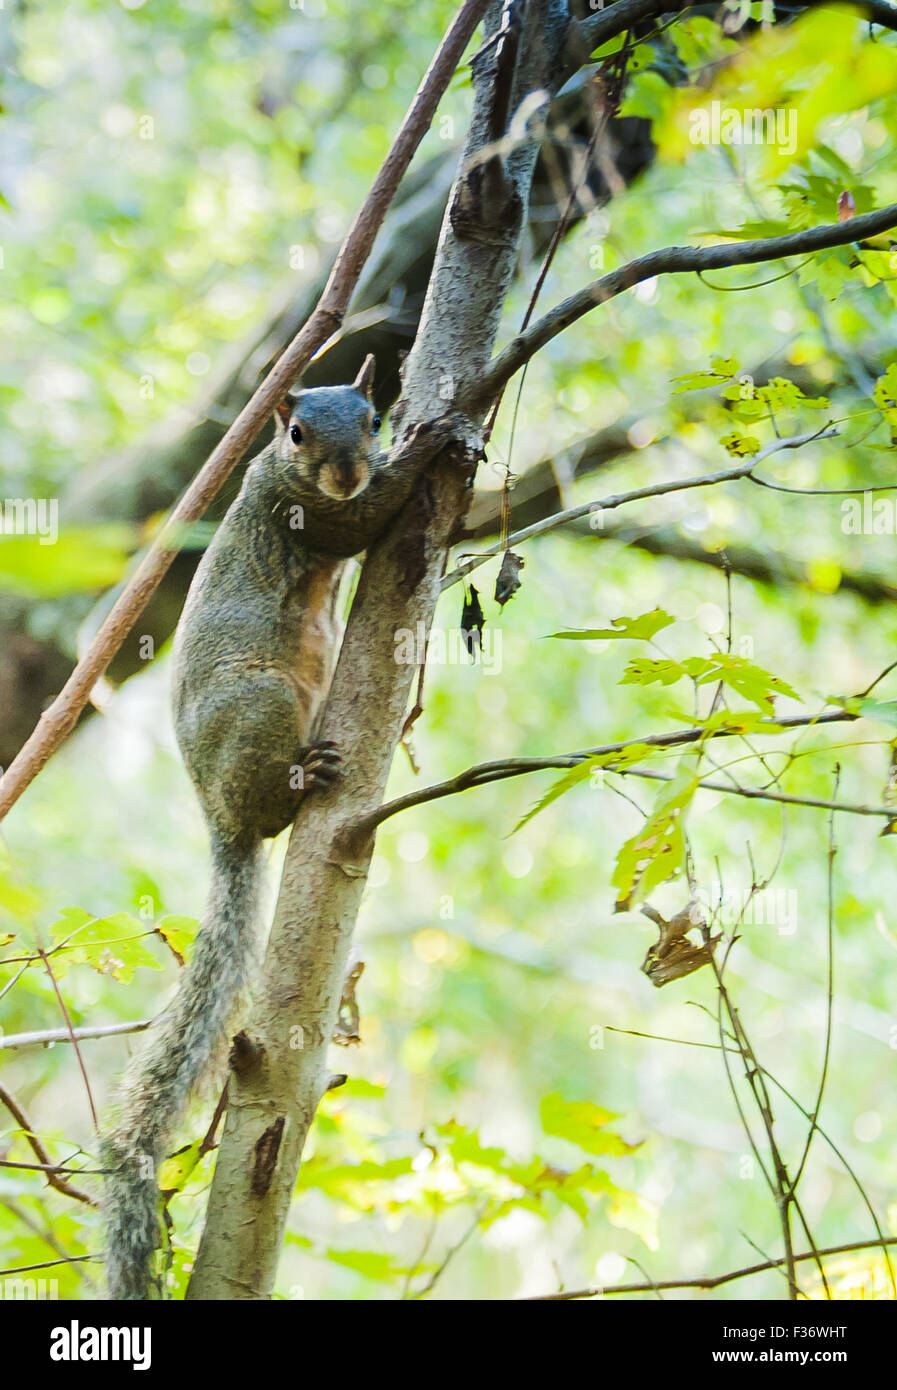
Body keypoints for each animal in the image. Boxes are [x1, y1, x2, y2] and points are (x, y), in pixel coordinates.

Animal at [102, 355, 442, 1299]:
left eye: (371, 416)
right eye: (296, 432)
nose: (349, 468)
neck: (280, 475)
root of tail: (220, 818)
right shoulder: (310, 516)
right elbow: (366, 521)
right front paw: (434, 446)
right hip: (261, 705)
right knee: (272, 798)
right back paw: (301, 784)